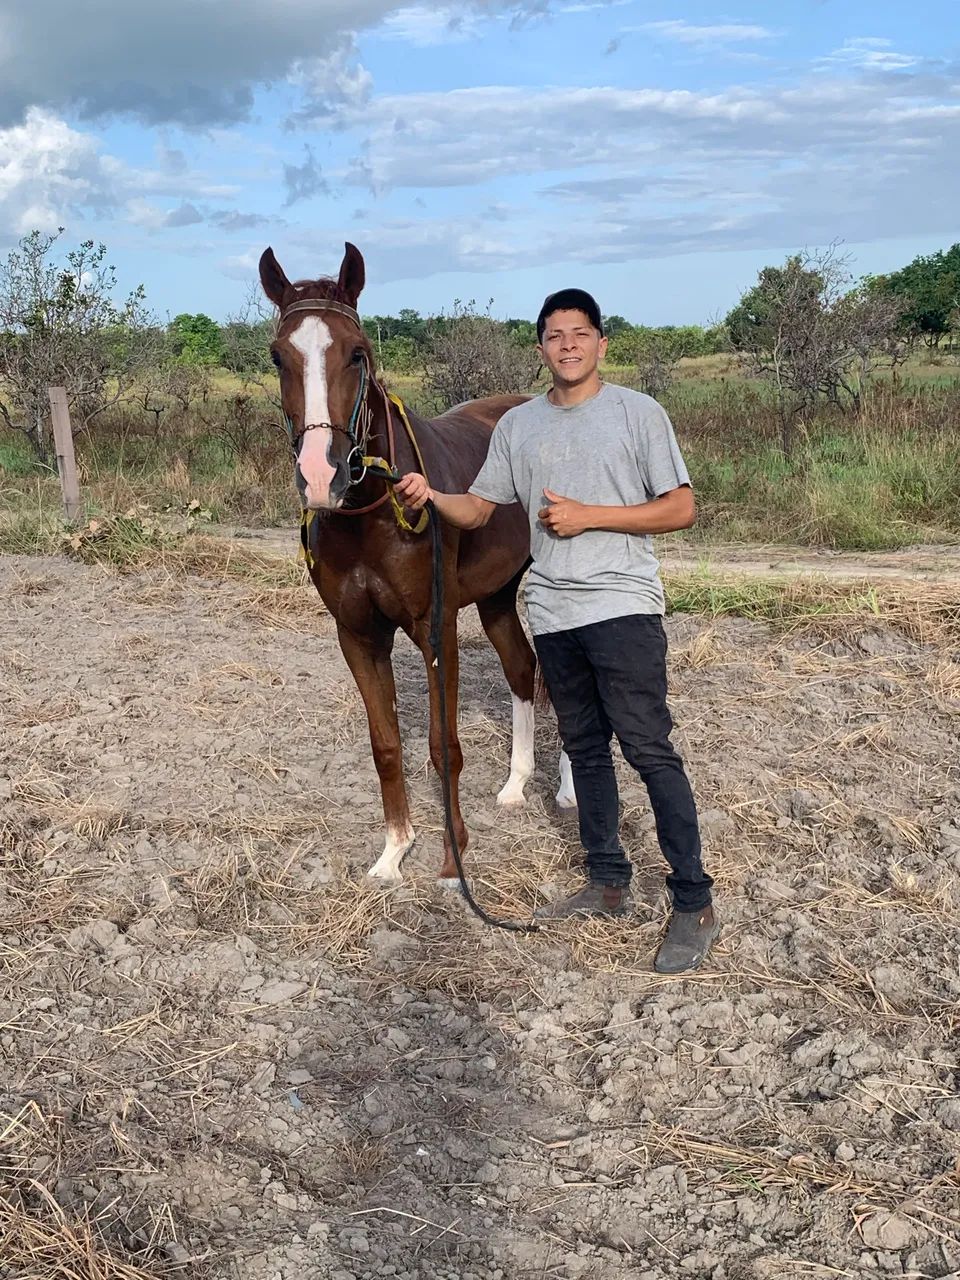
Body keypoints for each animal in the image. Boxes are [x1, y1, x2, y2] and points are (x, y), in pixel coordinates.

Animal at [259, 242, 575, 886]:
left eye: (358, 352)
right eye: (279, 356)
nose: (322, 476)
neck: (373, 513)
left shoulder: (436, 626)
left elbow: (441, 745)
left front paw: (454, 859)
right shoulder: (358, 635)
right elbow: (387, 746)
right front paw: (393, 851)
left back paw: (568, 793)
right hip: (497, 596)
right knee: (521, 668)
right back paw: (516, 785)